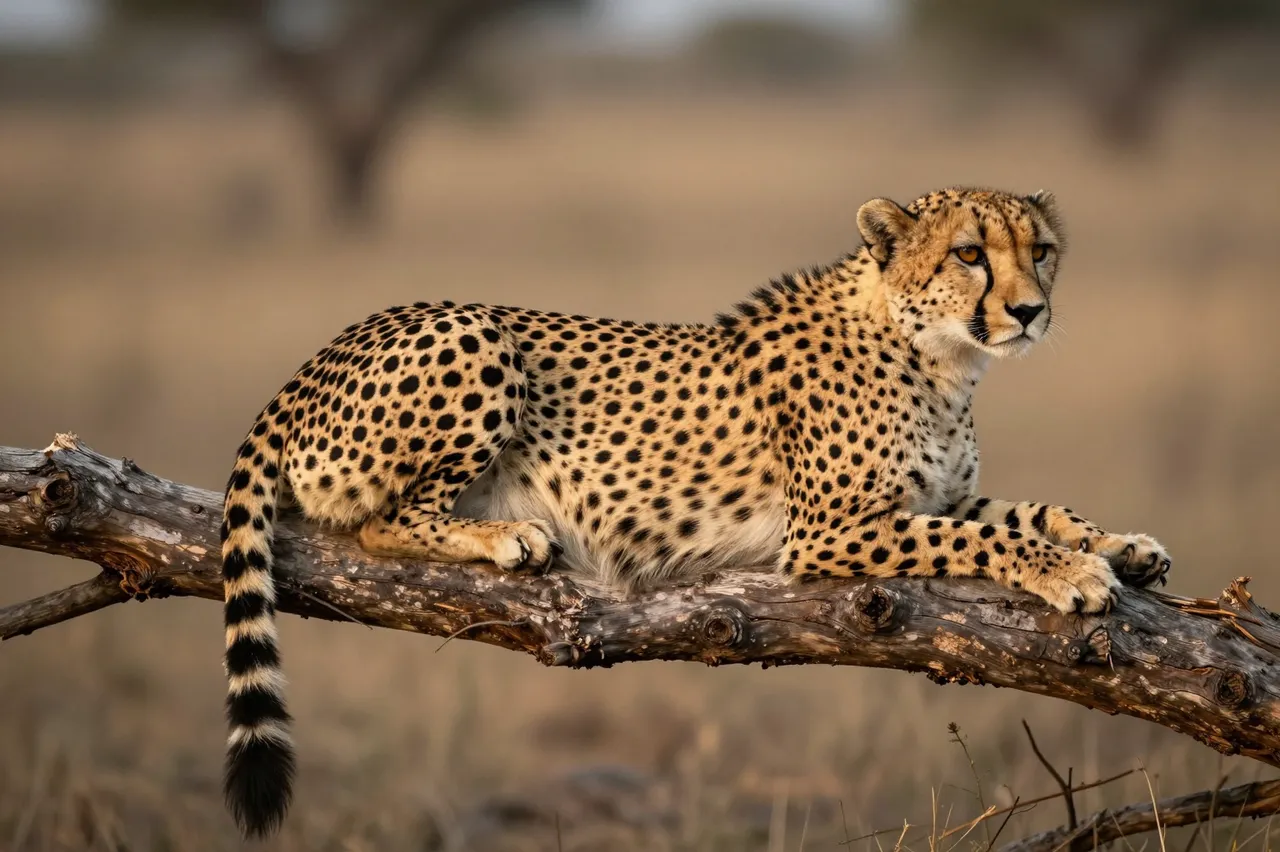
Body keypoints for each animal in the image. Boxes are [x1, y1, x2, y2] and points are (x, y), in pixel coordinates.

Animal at [218, 186, 1171, 838]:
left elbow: (1032, 510)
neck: (937, 355)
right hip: (476, 330)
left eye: (1040, 250)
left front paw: (1123, 545)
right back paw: (506, 533)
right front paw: (1074, 573)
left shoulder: (938, 492)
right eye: (970, 254)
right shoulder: (829, 532)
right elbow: (982, 538)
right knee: (379, 521)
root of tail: (316, 357)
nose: (1029, 310)